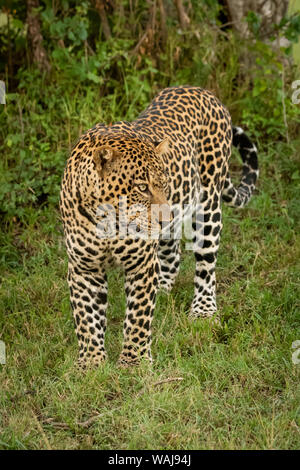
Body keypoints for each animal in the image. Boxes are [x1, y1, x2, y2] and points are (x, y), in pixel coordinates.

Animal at [59, 86, 258, 370]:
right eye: (142, 187)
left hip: (209, 206)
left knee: (206, 263)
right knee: (171, 255)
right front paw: (91, 364)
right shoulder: (84, 267)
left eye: (163, 183)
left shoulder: (141, 264)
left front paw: (134, 362)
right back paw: (163, 289)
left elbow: (138, 316)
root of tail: (202, 91)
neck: (108, 222)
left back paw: (203, 310)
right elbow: (86, 319)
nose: (166, 216)